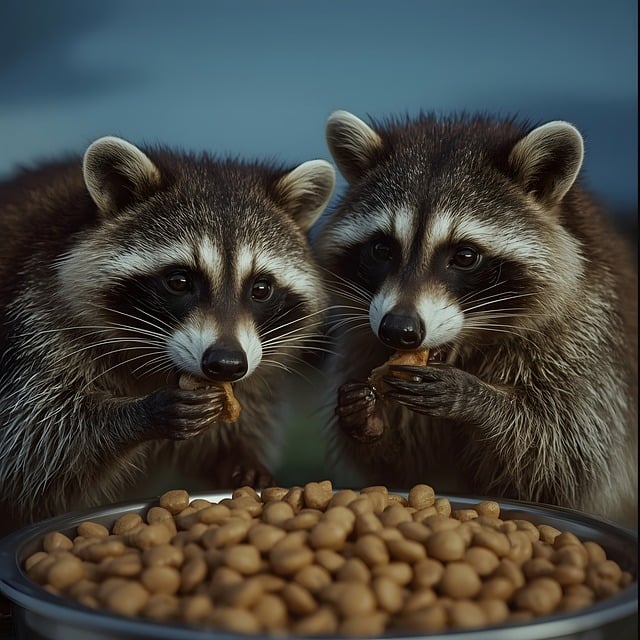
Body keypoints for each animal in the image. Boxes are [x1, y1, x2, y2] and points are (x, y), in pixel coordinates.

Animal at [0, 136, 335, 534]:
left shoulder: (254, 369)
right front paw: (136, 415)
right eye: (179, 281)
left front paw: (240, 460)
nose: (226, 364)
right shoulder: (34, 327)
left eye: (261, 288)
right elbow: (35, 444)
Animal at [315, 110, 637, 526]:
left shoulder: (587, 342)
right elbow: (402, 469)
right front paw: (365, 419)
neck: (465, 345)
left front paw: (477, 399)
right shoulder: (363, 342)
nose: (399, 331)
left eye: (465, 256)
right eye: (382, 249)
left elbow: (565, 457)